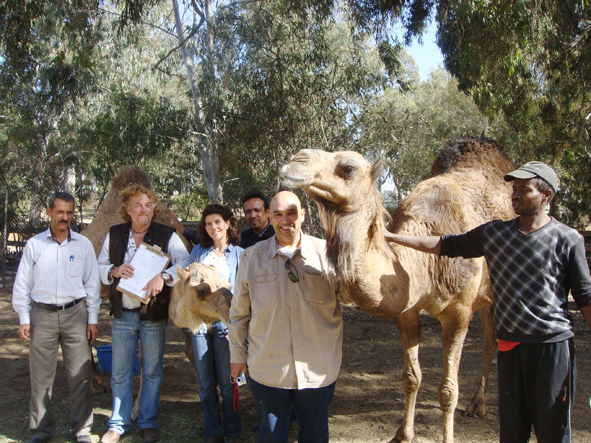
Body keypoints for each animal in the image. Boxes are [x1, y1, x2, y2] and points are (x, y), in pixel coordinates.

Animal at [280, 137, 516, 442]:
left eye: (348, 167)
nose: (295, 160)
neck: (422, 264)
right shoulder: (406, 311)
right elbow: (411, 376)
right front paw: (403, 433)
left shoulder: (459, 312)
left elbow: (448, 390)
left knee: (491, 343)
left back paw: (478, 406)